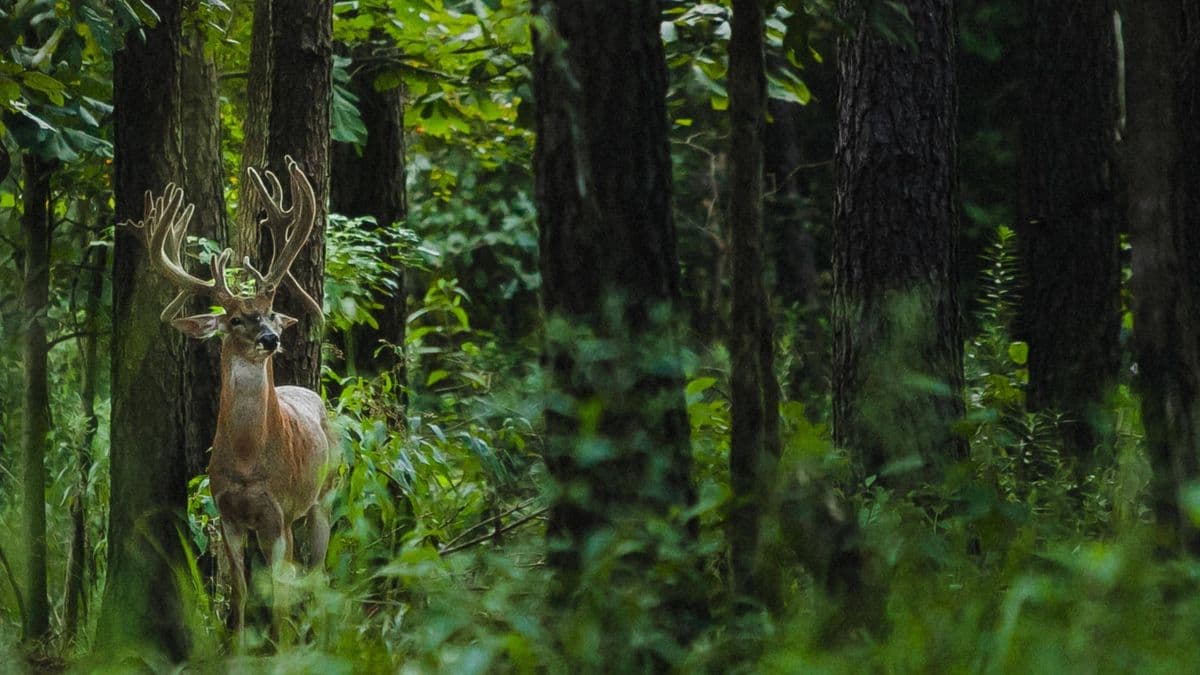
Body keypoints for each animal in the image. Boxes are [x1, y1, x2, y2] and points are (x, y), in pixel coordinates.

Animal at [125, 156, 334, 633]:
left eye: (272, 310)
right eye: (236, 319)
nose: (272, 338)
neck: (246, 462)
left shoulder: (280, 513)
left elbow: (279, 599)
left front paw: (283, 644)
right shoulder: (228, 516)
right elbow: (238, 596)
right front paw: (236, 643)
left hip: (324, 495)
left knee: (317, 574)